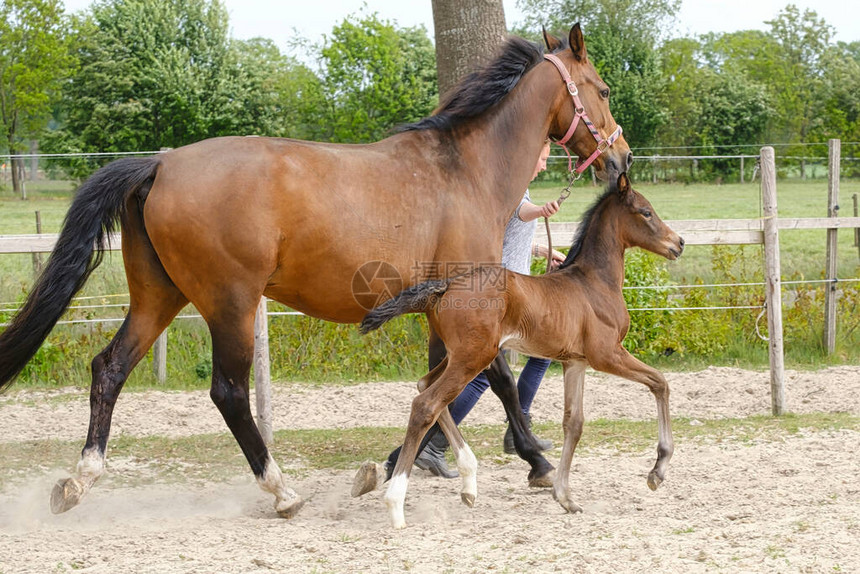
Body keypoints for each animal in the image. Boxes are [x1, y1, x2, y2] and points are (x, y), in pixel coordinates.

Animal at [0, 24, 628, 520]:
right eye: (602, 89)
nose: (620, 159)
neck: (466, 171)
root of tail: (161, 163)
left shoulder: (443, 308)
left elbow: (445, 387)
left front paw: (395, 467)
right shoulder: (469, 301)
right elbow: (490, 379)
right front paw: (537, 462)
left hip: (159, 296)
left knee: (109, 369)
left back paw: (78, 481)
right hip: (229, 303)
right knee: (228, 392)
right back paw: (281, 491)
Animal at [360, 176, 680, 532]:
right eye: (646, 212)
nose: (678, 243)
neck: (594, 283)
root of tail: (444, 286)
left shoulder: (575, 362)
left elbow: (574, 423)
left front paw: (565, 497)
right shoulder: (606, 354)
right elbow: (660, 382)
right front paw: (658, 471)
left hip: (461, 355)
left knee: (425, 387)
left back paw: (469, 483)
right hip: (474, 357)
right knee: (426, 404)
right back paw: (396, 505)